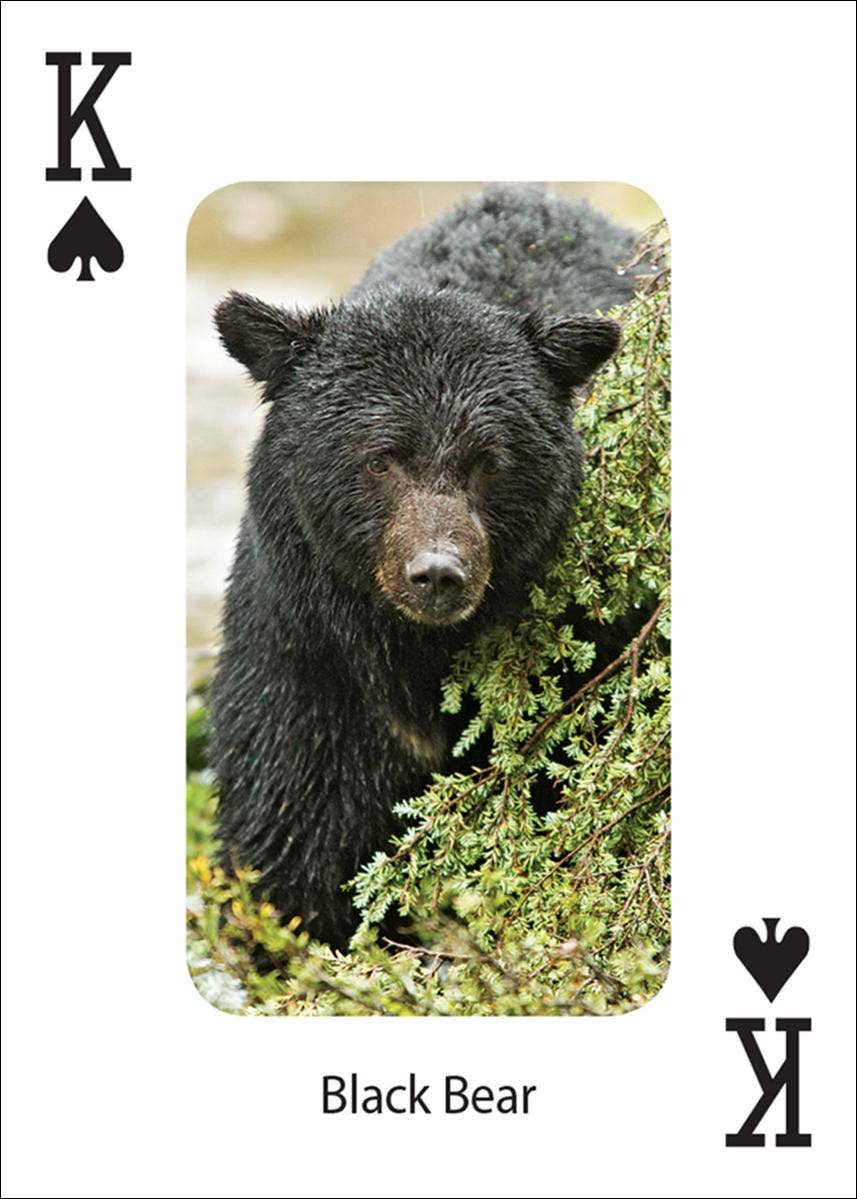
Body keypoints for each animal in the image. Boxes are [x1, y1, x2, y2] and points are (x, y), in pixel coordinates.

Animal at [210, 185, 645, 949]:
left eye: (487, 459)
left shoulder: (586, 657)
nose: (438, 571)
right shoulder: (304, 658)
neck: (411, 653)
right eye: (381, 457)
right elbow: (291, 829)